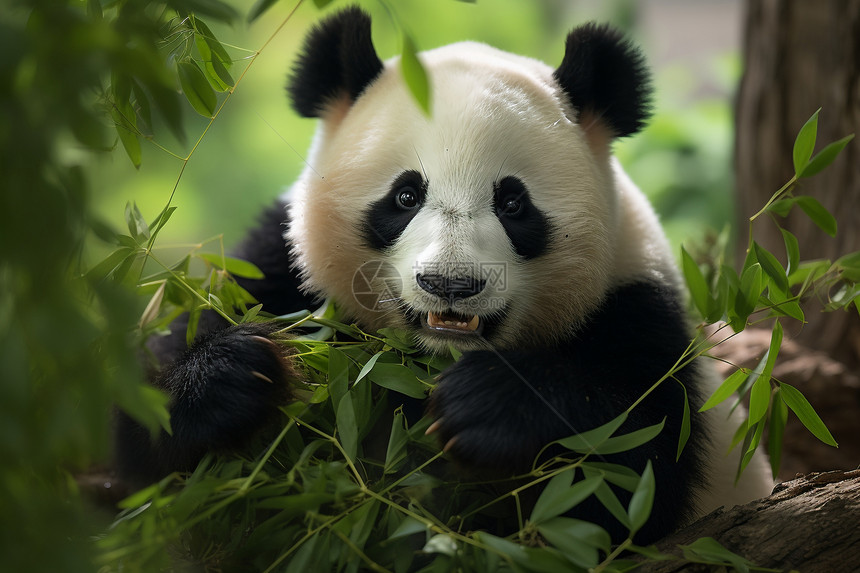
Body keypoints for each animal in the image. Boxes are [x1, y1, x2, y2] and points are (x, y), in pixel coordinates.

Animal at [114, 6, 772, 544]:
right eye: (405, 196)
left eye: (513, 203)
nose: (451, 286)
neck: (425, 362)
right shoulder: (279, 270)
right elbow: (139, 443)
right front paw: (233, 376)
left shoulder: (635, 307)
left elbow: (628, 471)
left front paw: (486, 407)